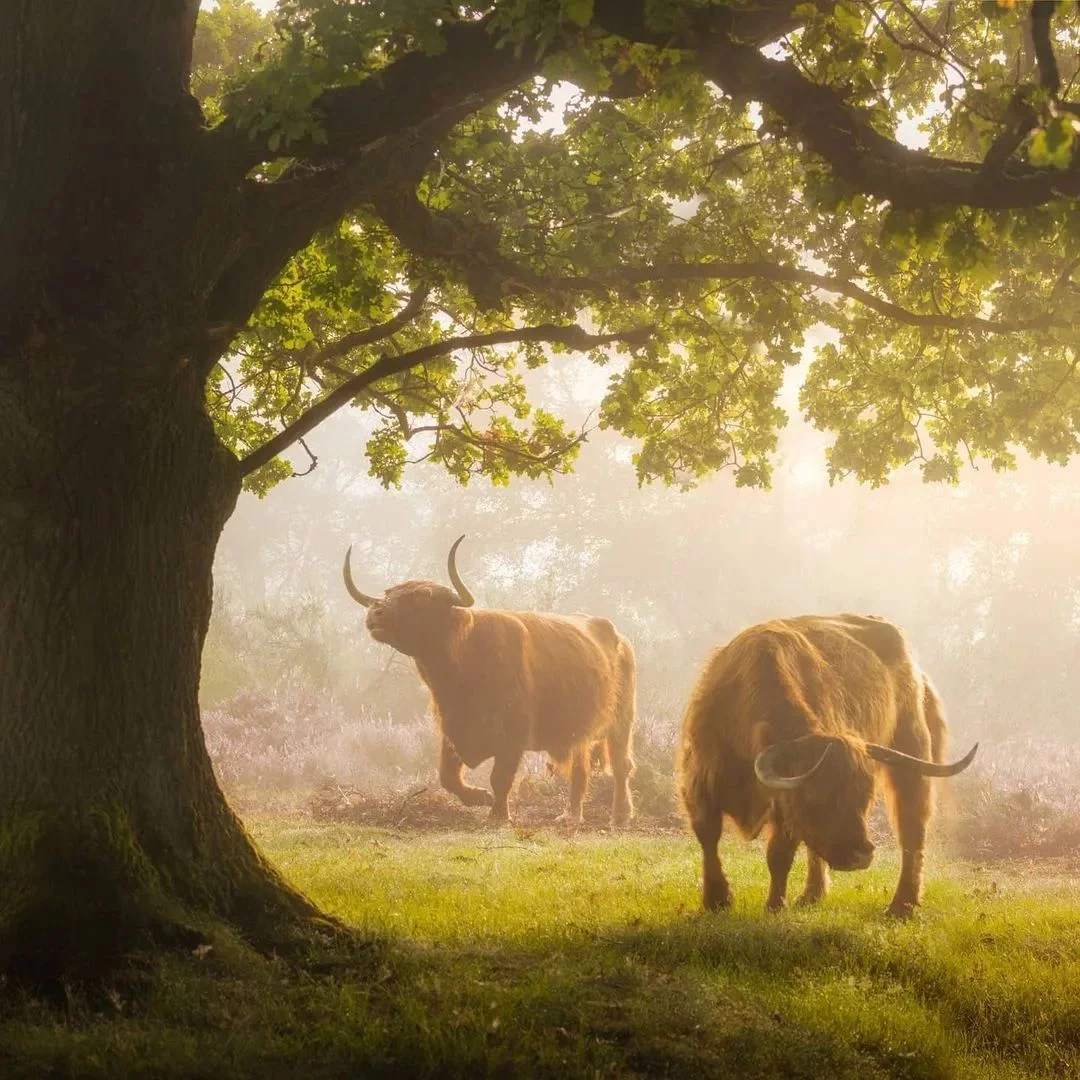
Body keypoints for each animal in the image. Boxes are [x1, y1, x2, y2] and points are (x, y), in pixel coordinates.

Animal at [343, 533, 630, 825]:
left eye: (423, 596)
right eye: (389, 594)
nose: (376, 611)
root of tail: (617, 636)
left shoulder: (512, 738)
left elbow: (500, 778)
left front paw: (498, 814)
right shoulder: (452, 732)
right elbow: (447, 777)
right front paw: (479, 797)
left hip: (621, 720)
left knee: (621, 766)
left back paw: (620, 815)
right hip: (580, 729)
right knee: (580, 769)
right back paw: (570, 816)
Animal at [682, 617, 980, 920]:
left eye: (864, 797)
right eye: (816, 796)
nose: (861, 854)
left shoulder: (785, 808)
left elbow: (778, 855)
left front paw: (774, 906)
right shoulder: (699, 783)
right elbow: (708, 838)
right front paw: (717, 899)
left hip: (911, 756)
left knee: (912, 831)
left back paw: (901, 905)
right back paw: (812, 895)